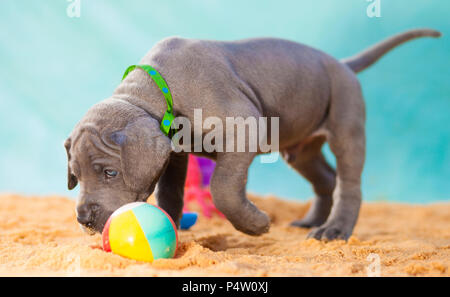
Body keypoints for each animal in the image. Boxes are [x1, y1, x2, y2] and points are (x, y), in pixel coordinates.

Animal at [65, 28, 442, 239]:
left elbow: (223, 188)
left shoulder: (244, 128)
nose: (83, 218)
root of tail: (344, 64)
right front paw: (171, 226)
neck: (154, 91)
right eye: (75, 176)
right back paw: (311, 221)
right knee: (325, 178)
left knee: (348, 182)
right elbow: (170, 192)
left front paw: (256, 225)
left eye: (110, 173)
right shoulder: (174, 153)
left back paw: (335, 230)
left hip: (346, 122)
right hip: (301, 148)